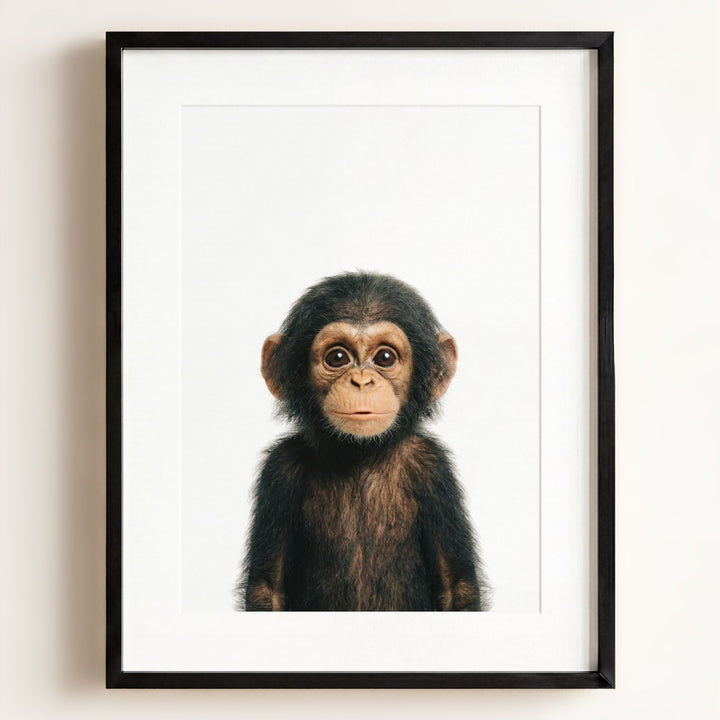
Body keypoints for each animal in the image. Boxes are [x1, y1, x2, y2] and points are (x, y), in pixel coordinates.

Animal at [237, 271, 490, 611]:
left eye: (384, 357)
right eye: (337, 357)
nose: (361, 381)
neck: (360, 453)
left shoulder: (433, 467)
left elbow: (457, 587)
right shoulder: (279, 469)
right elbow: (267, 588)